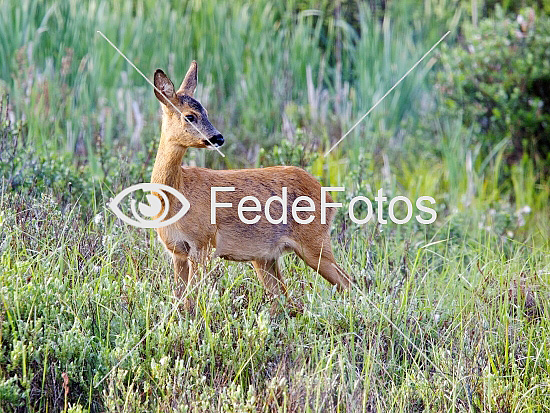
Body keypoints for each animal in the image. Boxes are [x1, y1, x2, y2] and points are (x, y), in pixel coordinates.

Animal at [151, 60, 354, 312]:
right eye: (190, 116)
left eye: (206, 112)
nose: (218, 138)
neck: (176, 196)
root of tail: (328, 196)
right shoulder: (177, 251)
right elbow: (180, 300)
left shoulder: (202, 243)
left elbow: (192, 298)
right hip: (266, 258)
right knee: (287, 299)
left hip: (314, 243)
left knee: (348, 283)